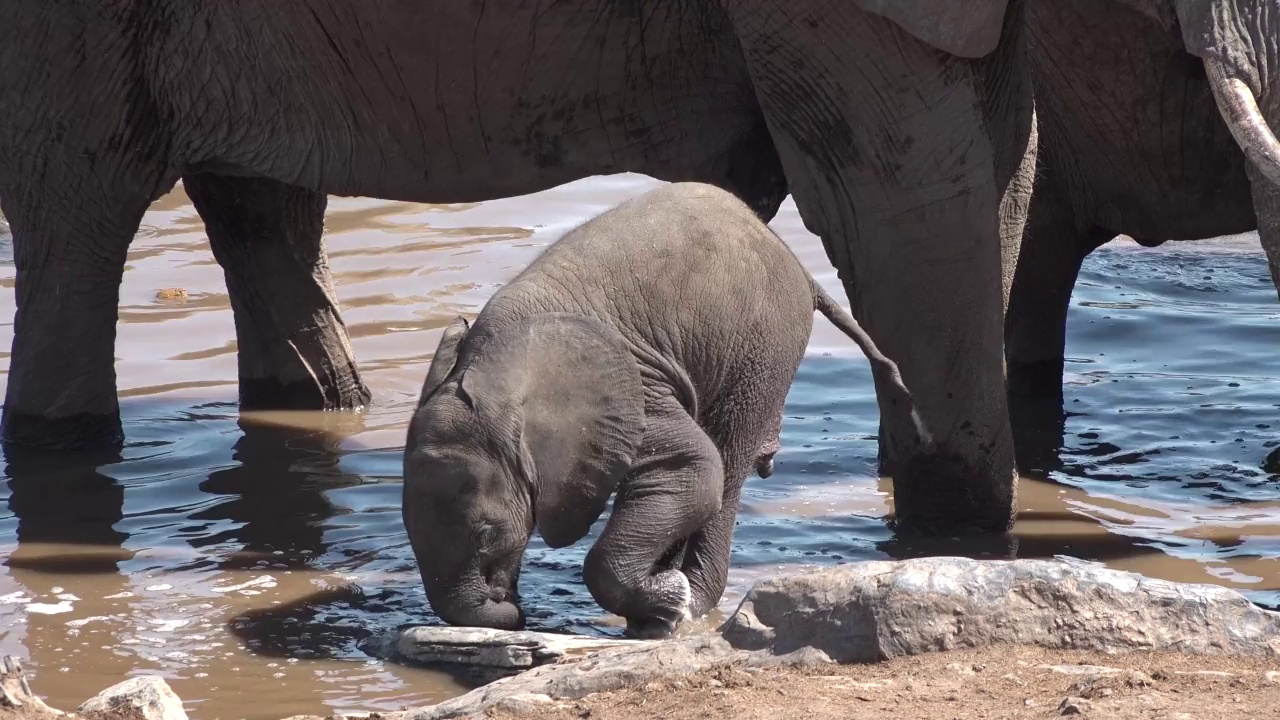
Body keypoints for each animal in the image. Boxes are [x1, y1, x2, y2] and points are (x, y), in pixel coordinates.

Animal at [404, 180, 926, 632]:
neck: (491, 371)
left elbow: (692, 470)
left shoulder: (636, 392)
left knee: (726, 466)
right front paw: (659, 602)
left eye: (486, 533)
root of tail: (795, 262)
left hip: (763, 348)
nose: (512, 609)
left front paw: (671, 606)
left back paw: (685, 603)